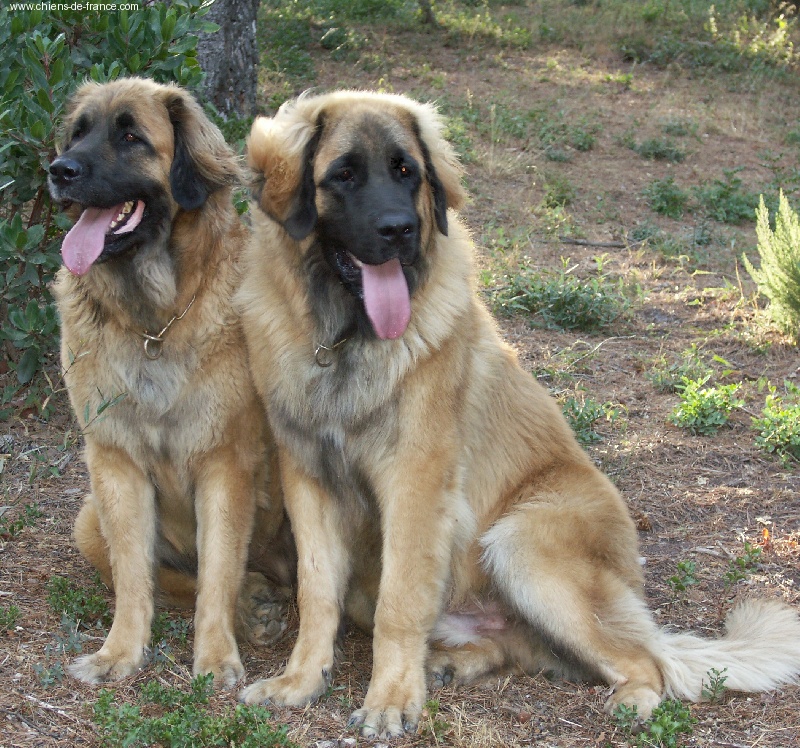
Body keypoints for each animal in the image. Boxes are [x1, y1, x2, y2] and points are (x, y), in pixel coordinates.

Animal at [48, 79, 290, 688]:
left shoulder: (225, 464)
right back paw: (254, 602)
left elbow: (218, 574)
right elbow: (137, 575)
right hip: (88, 520)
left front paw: (216, 658)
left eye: (131, 136)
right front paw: (119, 653)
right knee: (171, 576)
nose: (59, 170)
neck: (153, 322)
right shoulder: (116, 463)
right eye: (78, 133)